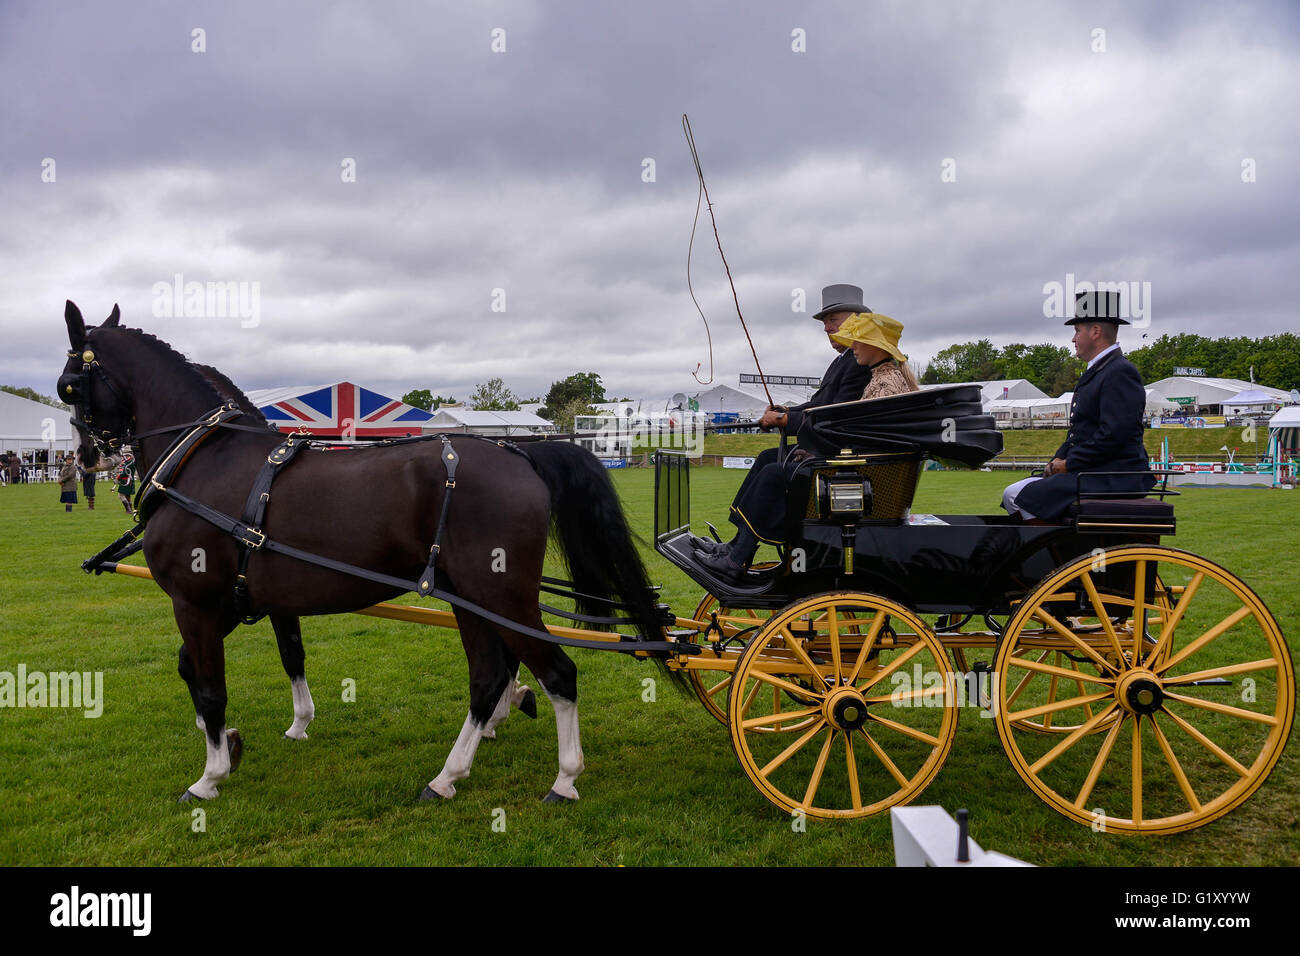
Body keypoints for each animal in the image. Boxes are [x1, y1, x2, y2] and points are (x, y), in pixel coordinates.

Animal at [53, 303, 660, 806]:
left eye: (68, 387)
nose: (85, 459)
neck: (203, 460)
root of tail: (519, 452)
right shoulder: (237, 602)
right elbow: (214, 667)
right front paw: (232, 741)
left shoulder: (195, 602)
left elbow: (209, 686)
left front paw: (210, 776)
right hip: (470, 596)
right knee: (489, 677)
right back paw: (448, 776)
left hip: (502, 597)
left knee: (558, 672)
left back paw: (564, 777)